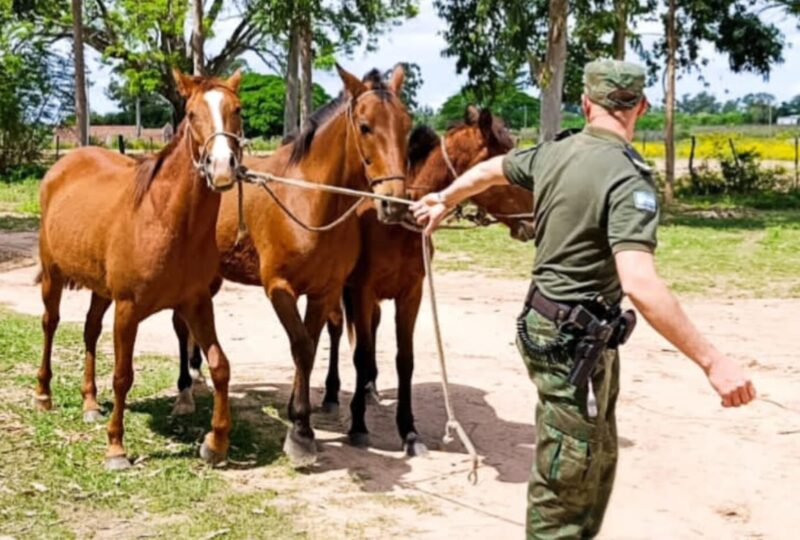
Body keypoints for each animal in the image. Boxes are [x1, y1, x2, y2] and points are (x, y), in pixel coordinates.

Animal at [35, 68, 243, 470]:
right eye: (191, 114)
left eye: (237, 110)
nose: (222, 167)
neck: (166, 220)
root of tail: (61, 166)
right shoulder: (129, 309)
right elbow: (122, 376)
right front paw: (116, 448)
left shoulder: (197, 303)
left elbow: (220, 365)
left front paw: (216, 442)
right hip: (53, 275)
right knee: (50, 324)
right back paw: (43, 394)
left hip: (101, 291)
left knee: (89, 331)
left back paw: (89, 402)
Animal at [169, 64, 412, 467]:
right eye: (364, 126)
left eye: (407, 125)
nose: (394, 203)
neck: (308, 199)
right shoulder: (280, 289)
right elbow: (301, 345)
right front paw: (299, 431)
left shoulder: (323, 292)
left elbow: (309, 348)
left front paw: (302, 422)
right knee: (178, 324)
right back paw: (185, 392)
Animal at [322, 106, 534, 455]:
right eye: (507, 172)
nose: (531, 222)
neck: (396, 221)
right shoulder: (362, 291)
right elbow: (360, 354)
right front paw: (358, 425)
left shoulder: (411, 294)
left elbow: (404, 360)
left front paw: (409, 431)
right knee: (338, 331)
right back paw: (330, 395)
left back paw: (370, 388)